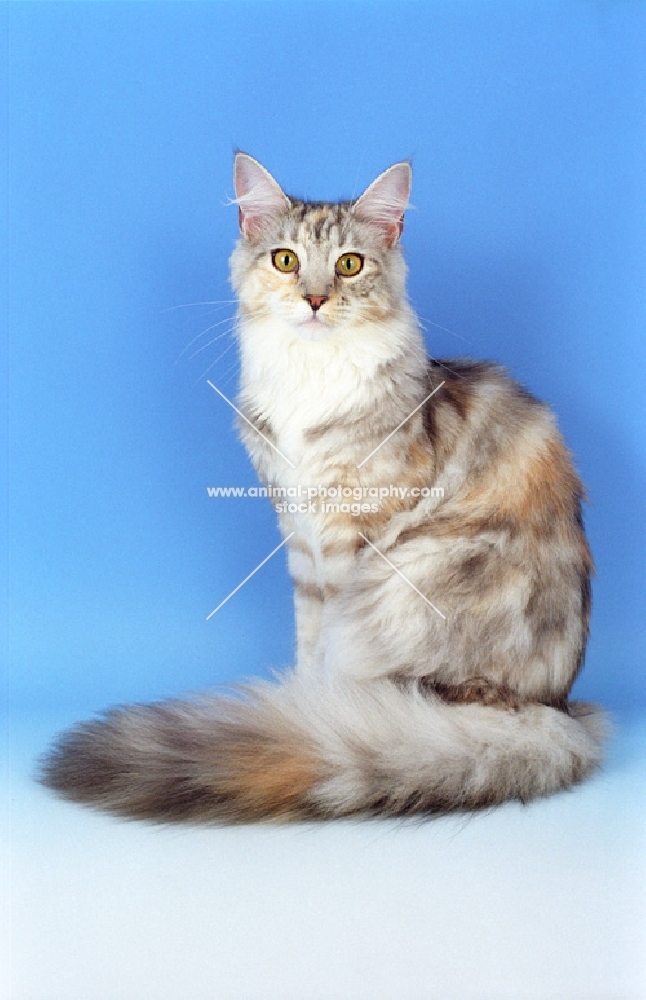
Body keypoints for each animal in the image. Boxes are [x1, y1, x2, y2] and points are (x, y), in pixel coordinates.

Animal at [40, 148, 608, 820]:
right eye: (286, 260)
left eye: (349, 264)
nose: (314, 298)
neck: (308, 378)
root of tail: (555, 709)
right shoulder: (298, 531)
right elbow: (308, 640)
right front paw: (307, 705)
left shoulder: (353, 530)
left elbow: (328, 646)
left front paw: (319, 720)